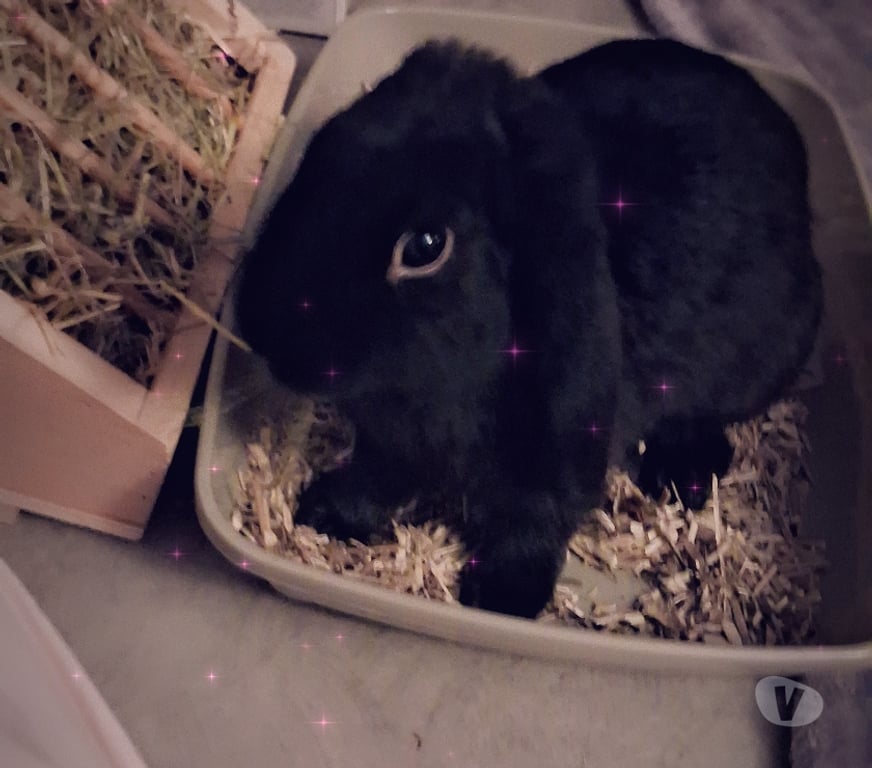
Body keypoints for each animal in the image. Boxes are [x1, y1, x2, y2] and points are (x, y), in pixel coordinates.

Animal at [235, 38, 822, 619]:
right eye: (320, 149)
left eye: (425, 246)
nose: (264, 333)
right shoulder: (394, 441)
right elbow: (379, 476)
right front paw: (324, 511)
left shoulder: (555, 450)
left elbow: (534, 521)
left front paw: (501, 597)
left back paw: (683, 473)